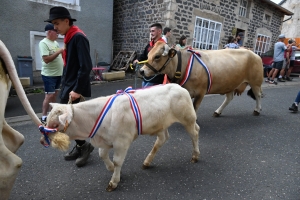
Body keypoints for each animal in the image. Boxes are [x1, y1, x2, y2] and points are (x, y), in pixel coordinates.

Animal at [43, 83, 200, 191]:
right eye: (47, 120)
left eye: (55, 125)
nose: (42, 140)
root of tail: (179, 86)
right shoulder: (105, 140)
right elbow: (102, 155)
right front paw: (112, 169)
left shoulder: (122, 141)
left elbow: (118, 161)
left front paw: (114, 181)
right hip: (161, 124)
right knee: (162, 139)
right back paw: (147, 161)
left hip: (188, 118)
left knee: (195, 133)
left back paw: (195, 155)